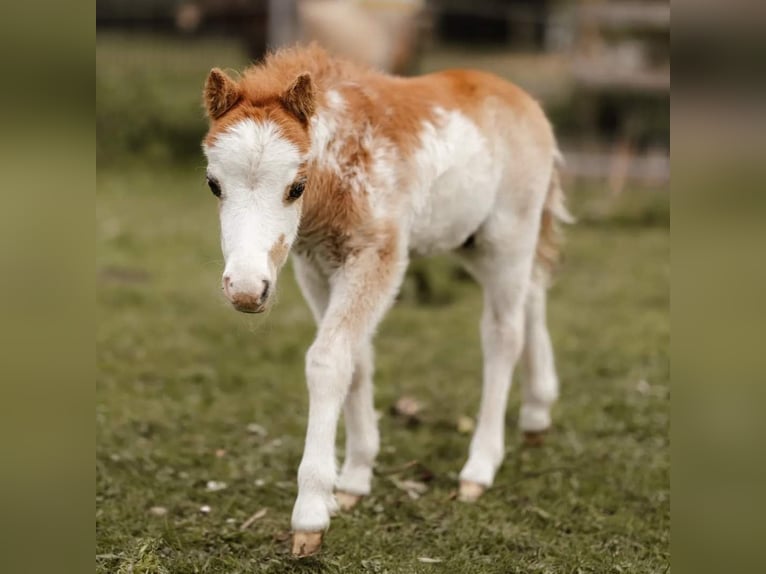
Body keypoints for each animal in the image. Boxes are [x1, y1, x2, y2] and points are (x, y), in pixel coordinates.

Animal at [201, 45, 572, 560]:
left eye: (297, 186)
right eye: (213, 184)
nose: (245, 290)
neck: (345, 160)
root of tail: (526, 101)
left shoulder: (379, 258)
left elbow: (328, 361)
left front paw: (311, 514)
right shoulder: (316, 268)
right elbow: (357, 361)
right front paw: (354, 480)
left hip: (508, 235)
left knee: (503, 334)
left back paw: (479, 468)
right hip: (474, 241)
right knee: (533, 295)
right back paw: (537, 412)